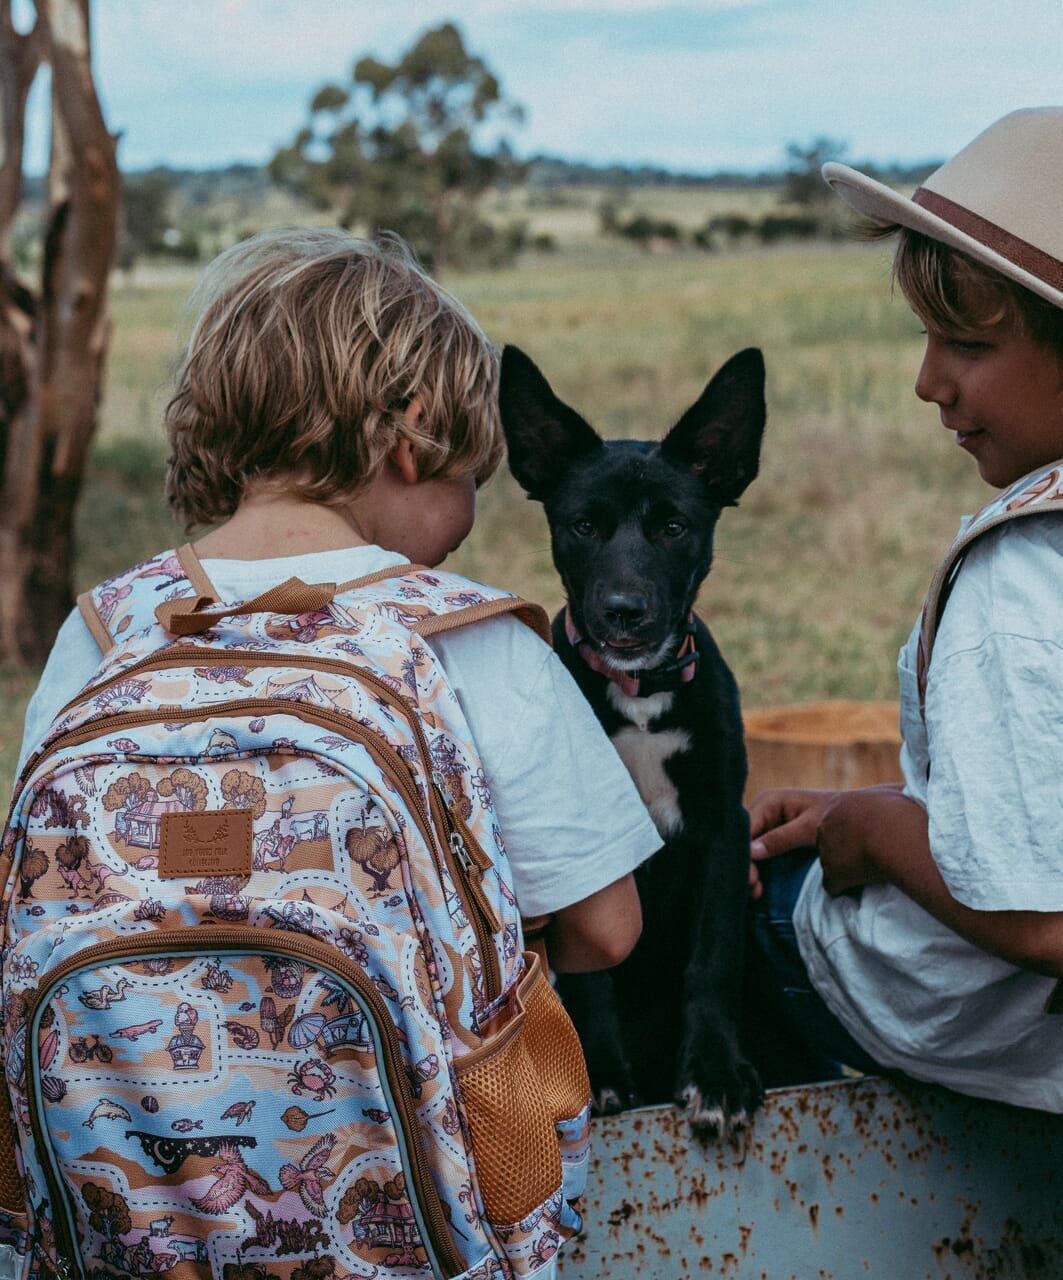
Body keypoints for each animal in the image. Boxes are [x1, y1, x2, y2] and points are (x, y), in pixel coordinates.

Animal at [499, 343, 768, 1141]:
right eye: (582, 526)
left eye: (674, 527)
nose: (623, 613)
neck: (640, 694)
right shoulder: (577, 844)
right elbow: (592, 979)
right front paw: (602, 1076)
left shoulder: (724, 825)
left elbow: (710, 960)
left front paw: (716, 1076)